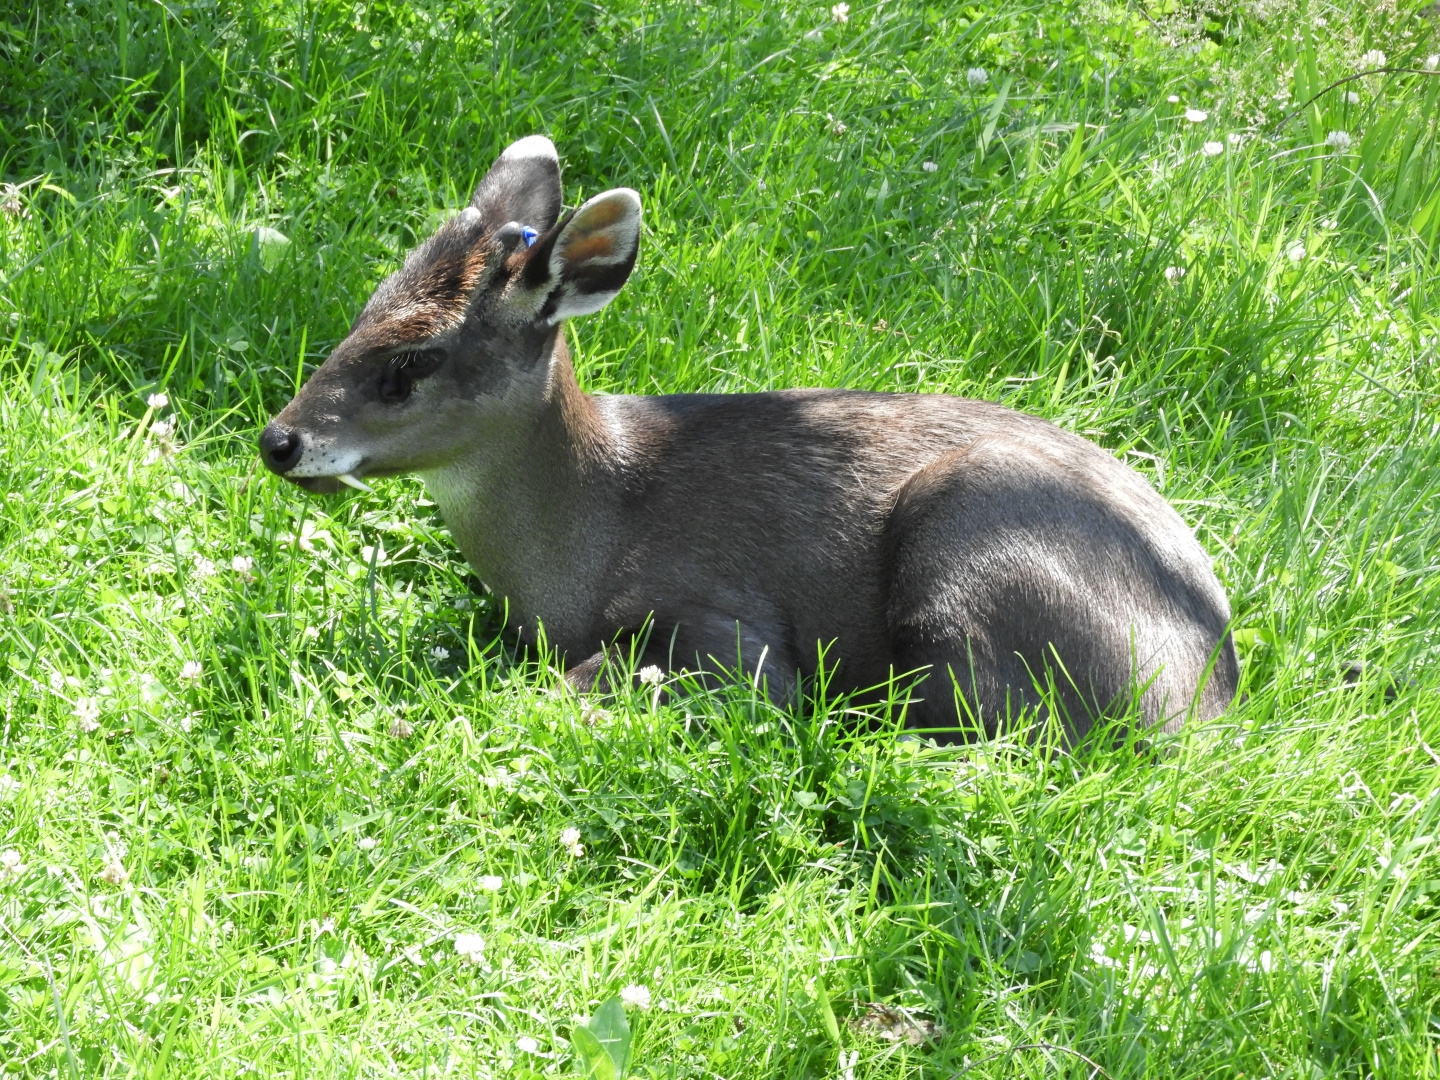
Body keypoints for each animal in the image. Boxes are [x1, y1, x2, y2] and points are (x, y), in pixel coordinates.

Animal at [259, 135, 1239, 743]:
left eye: (413, 359)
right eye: (363, 310)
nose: (279, 441)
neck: (588, 539)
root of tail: (1208, 696)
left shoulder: (726, 621)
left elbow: (601, 679)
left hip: (979, 534)